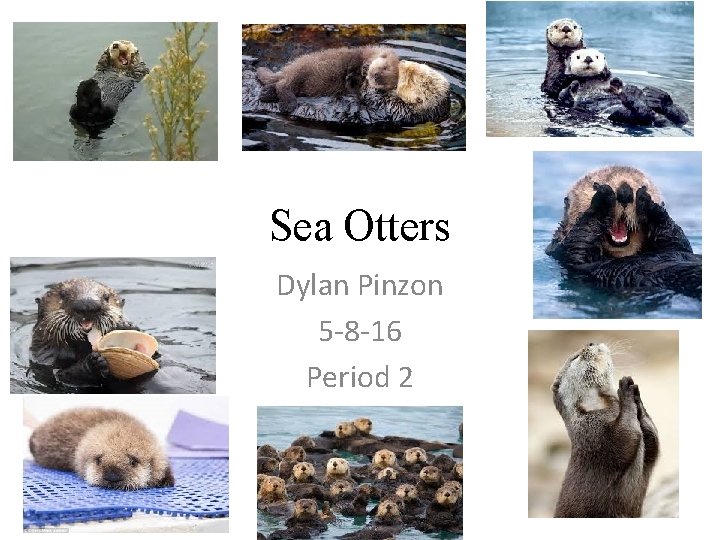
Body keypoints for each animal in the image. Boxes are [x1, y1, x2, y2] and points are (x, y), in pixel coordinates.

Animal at [256, 46, 399, 113]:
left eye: (384, 83)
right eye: (385, 67)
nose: (377, 76)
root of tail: (288, 69)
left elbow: (353, 86)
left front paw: (353, 76)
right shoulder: (357, 56)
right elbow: (353, 63)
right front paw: (362, 68)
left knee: (280, 85)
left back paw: (266, 93)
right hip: (301, 70)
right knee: (283, 85)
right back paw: (287, 104)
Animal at [546, 166, 701, 298]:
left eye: (643, 186)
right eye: (595, 185)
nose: (625, 192)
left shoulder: (678, 245)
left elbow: (676, 236)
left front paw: (648, 202)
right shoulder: (565, 254)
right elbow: (579, 241)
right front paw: (603, 198)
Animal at [552, 343, 659, 517]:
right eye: (575, 357)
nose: (590, 343)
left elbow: (653, 445)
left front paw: (637, 399)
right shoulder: (594, 435)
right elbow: (624, 438)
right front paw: (625, 392)